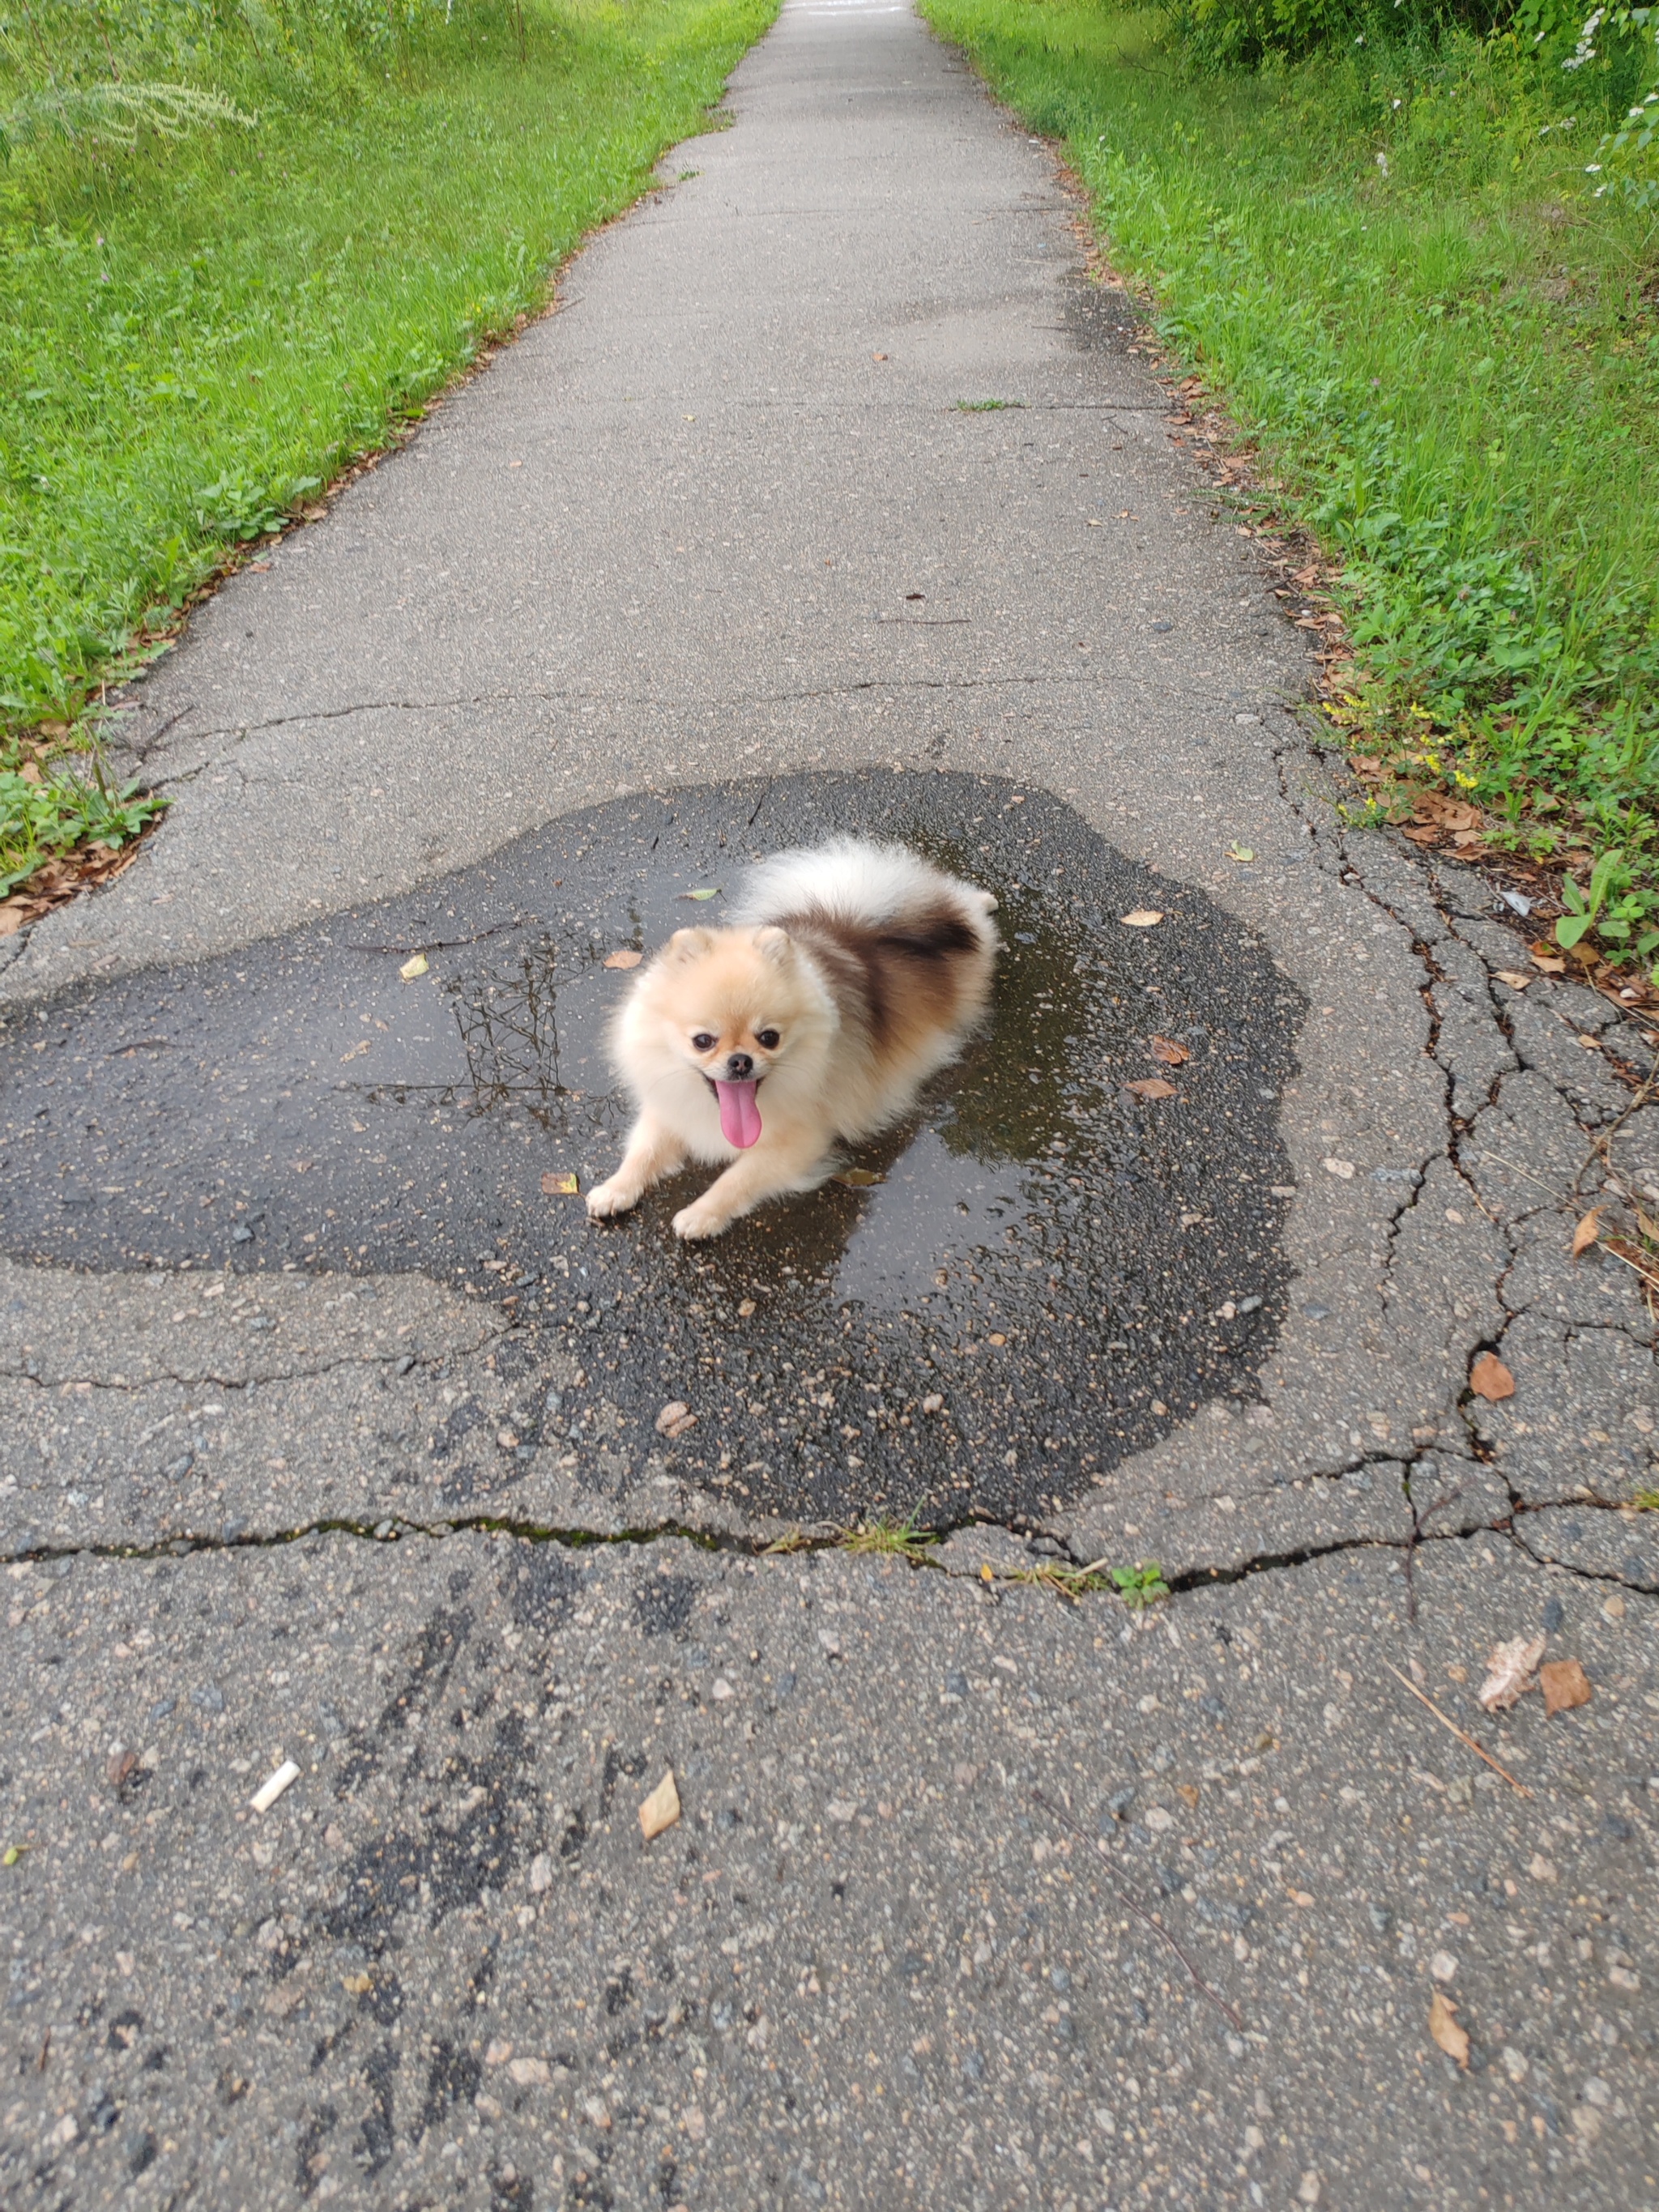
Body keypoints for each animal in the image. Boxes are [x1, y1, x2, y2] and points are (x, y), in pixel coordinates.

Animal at [588, 831, 1000, 1238]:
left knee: (963, 902)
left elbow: (736, 1179)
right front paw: (615, 1188)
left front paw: (702, 1213)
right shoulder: (670, 1109)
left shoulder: (799, 1139)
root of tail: (855, 926)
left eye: (769, 1037)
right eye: (703, 1041)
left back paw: (986, 900)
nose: (740, 1061)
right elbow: (642, 1153)